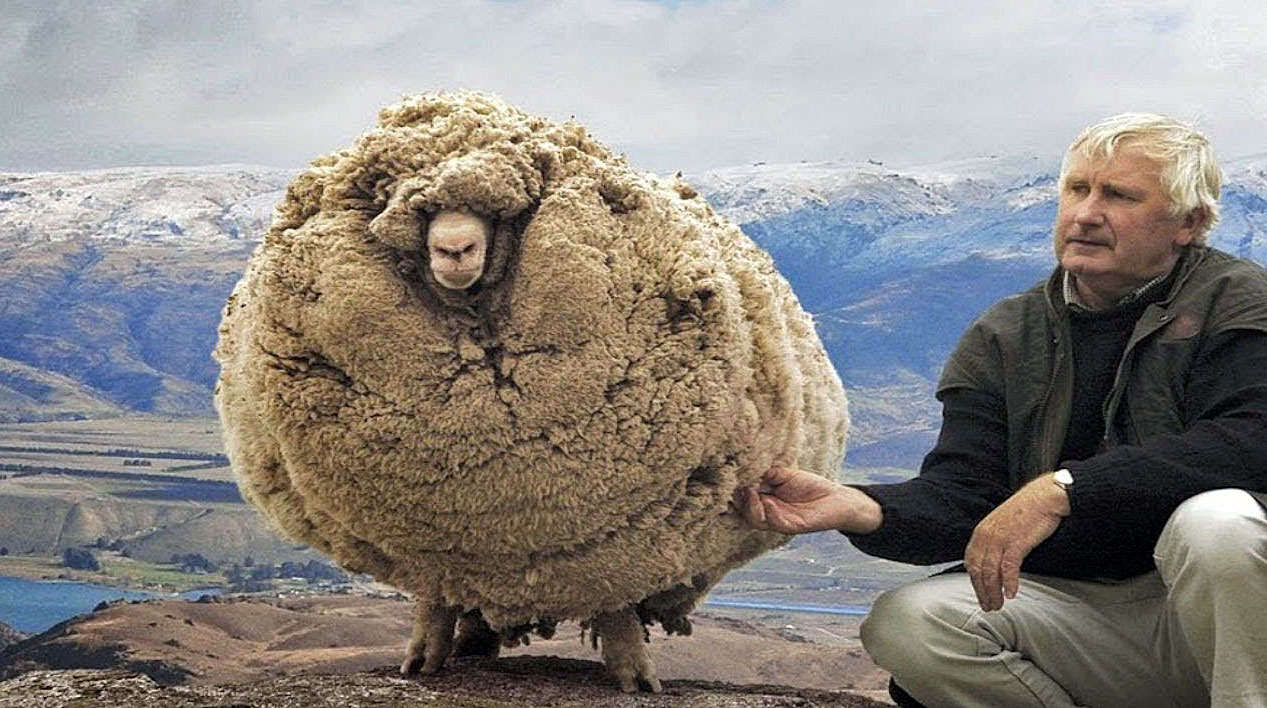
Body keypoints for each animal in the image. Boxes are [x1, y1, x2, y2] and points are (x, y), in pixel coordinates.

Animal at [213, 91, 848, 693]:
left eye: (502, 216)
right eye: (417, 213)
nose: (454, 250)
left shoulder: (630, 535)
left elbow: (617, 605)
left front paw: (633, 671)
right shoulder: (433, 543)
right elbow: (432, 596)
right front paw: (423, 655)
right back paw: (469, 641)